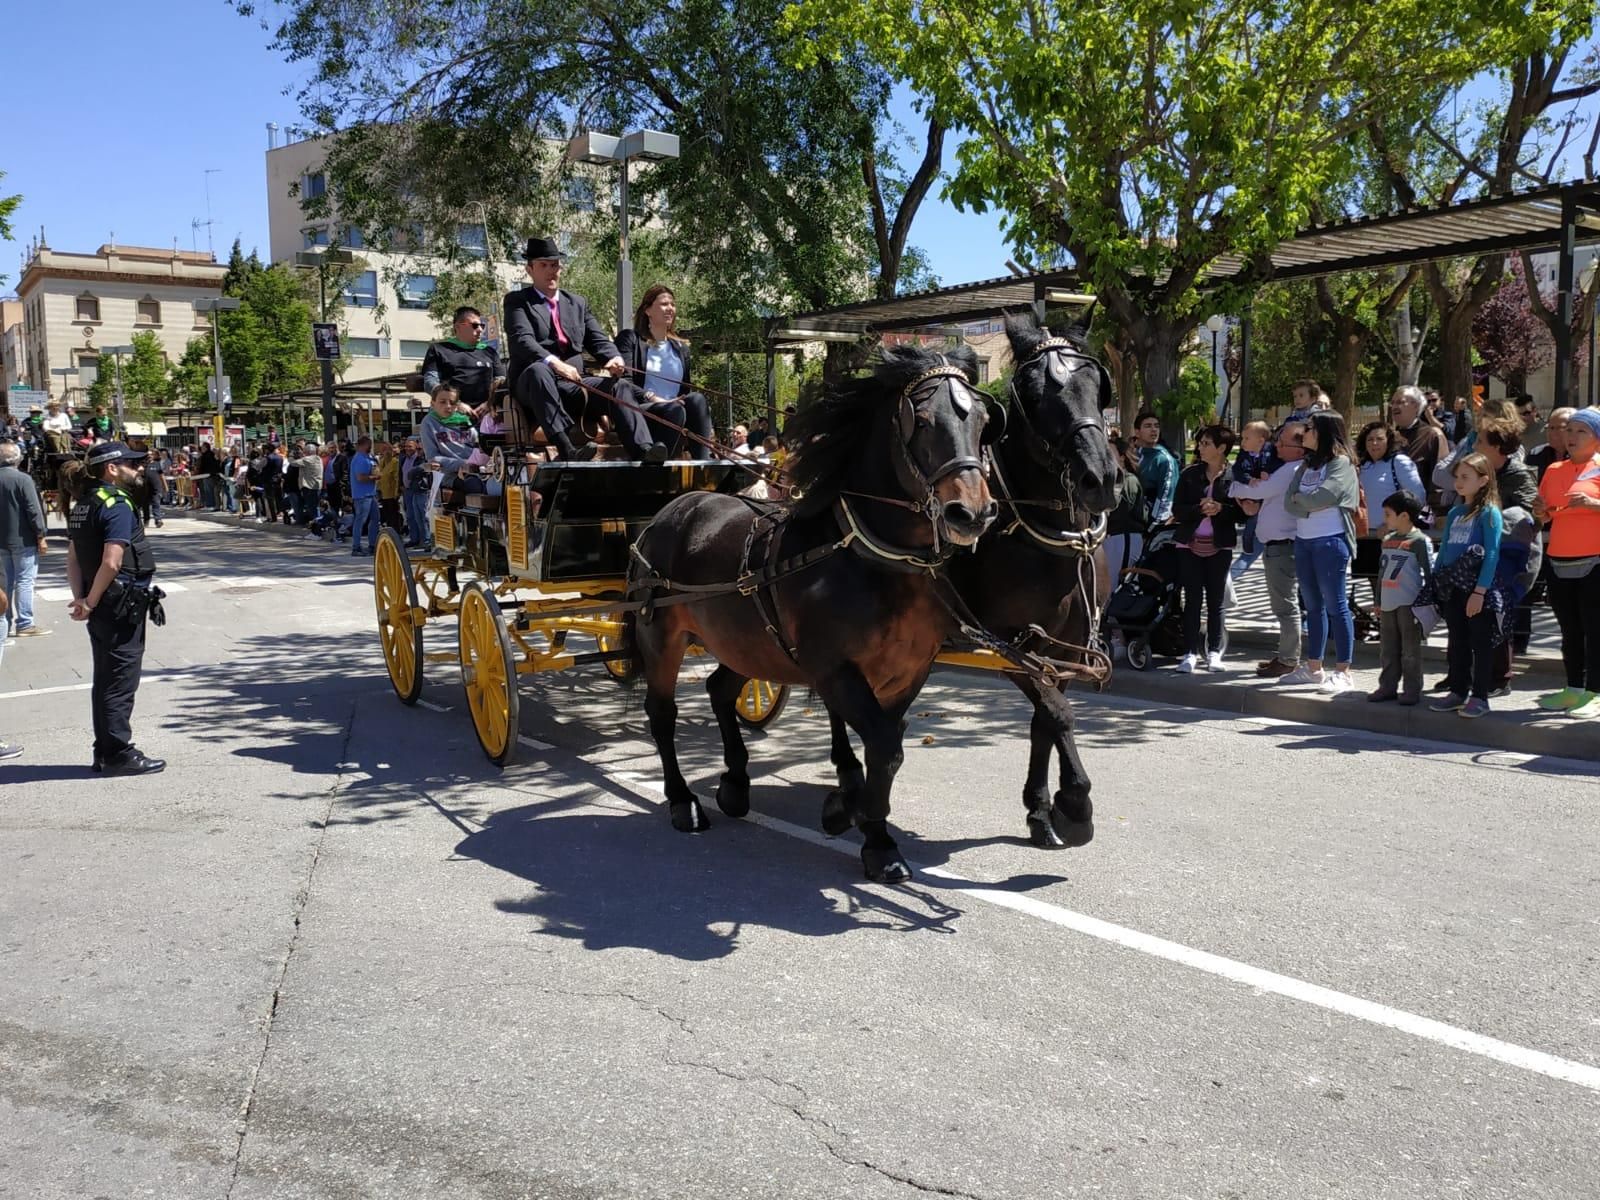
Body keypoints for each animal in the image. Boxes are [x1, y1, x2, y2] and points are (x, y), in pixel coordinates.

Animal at [624, 345, 998, 883]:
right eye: (922, 421)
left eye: (985, 421)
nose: (972, 513)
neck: (866, 556)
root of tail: (671, 510)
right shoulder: (834, 670)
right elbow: (885, 746)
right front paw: (862, 822)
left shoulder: (909, 673)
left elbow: (886, 746)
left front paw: (865, 823)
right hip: (661, 637)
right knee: (662, 714)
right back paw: (682, 800)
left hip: (746, 644)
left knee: (720, 691)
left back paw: (735, 781)